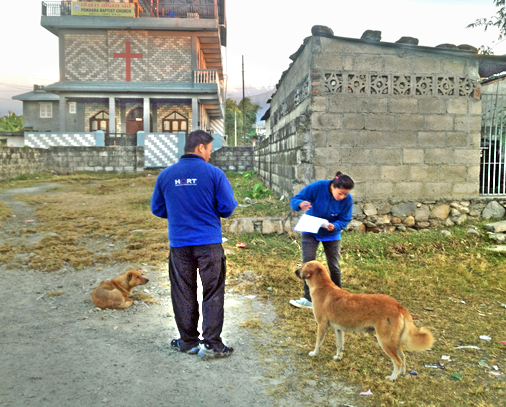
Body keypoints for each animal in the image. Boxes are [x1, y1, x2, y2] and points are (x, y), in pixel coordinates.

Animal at [296, 262, 434, 380]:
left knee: (398, 361)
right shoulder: (339, 329)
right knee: (403, 357)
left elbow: (318, 343)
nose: (295, 270)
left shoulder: (322, 325)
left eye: (303, 266)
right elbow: (340, 346)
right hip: (394, 340)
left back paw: (392, 378)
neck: (322, 287)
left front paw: (314, 353)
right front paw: (338, 357)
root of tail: (398, 305)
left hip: (385, 340)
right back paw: (401, 374)